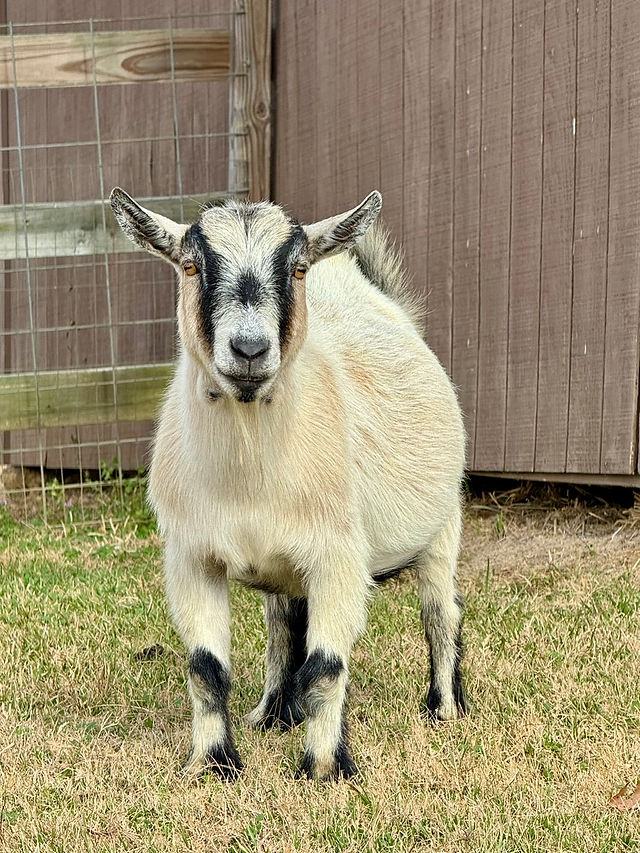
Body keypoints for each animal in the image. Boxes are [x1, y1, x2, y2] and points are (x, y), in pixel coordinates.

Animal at [110, 187, 467, 781]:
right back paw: (275, 712)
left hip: (444, 523)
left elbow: (325, 665)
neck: (249, 479)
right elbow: (206, 668)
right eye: (190, 266)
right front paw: (211, 764)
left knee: (441, 611)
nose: (250, 350)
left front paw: (324, 769)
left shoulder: (339, 556)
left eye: (297, 268)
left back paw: (445, 708)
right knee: (283, 624)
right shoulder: (191, 556)